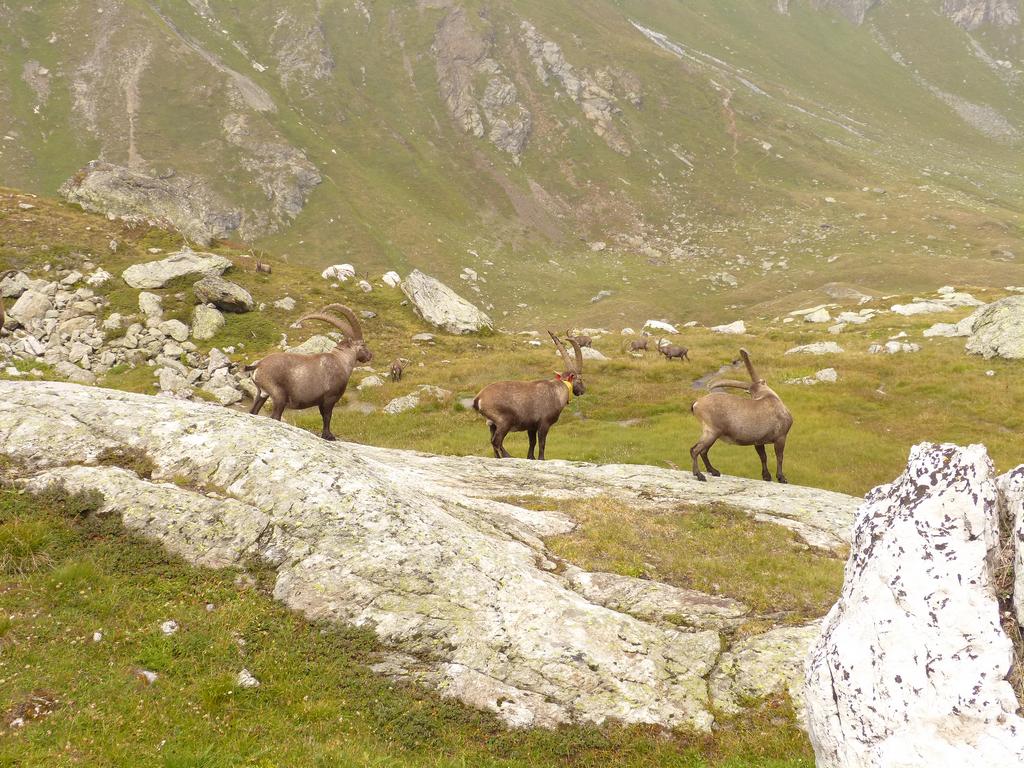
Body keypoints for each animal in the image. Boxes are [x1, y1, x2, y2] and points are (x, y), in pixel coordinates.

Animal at [244, 303, 371, 440]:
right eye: (363, 345)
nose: (370, 356)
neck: (341, 361)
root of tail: (258, 365)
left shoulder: (321, 401)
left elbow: (324, 416)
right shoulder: (329, 398)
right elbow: (327, 417)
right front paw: (328, 436)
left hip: (262, 393)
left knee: (253, 411)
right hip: (279, 396)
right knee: (275, 417)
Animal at [472, 332, 584, 460]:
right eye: (580, 379)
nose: (583, 391)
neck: (557, 391)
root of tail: (479, 398)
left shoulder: (531, 426)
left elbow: (532, 442)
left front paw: (531, 457)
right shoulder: (544, 424)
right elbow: (542, 443)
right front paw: (541, 458)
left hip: (492, 424)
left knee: (492, 440)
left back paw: (498, 457)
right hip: (504, 421)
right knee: (496, 441)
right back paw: (508, 456)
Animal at [689, 348, 792, 483]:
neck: (769, 396)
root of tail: (697, 404)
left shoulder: (758, 441)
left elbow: (763, 457)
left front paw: (766, 476)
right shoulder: (781, 436)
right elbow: (779, 457)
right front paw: (781, 477)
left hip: (712, 433)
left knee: (703, 451)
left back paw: (714, 471)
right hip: (712, 431)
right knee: (695, 450)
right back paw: (699, 474)